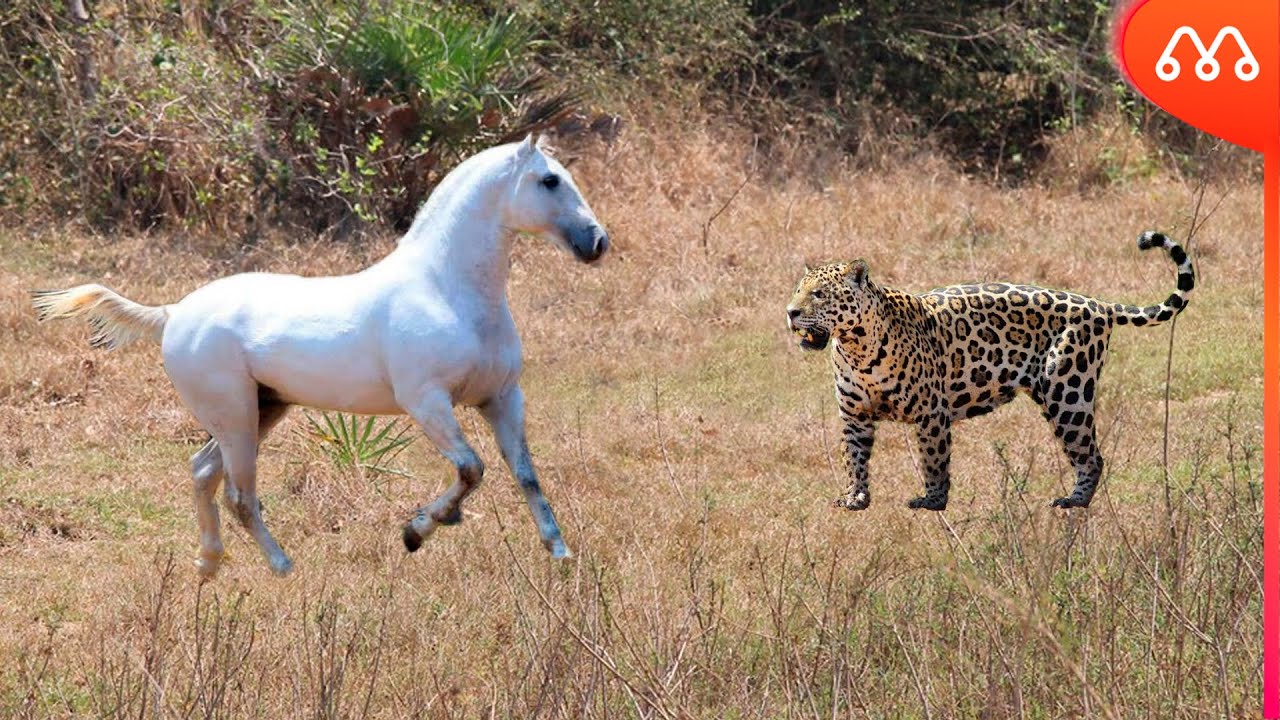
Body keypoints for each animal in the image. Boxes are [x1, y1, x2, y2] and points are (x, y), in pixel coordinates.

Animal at [31, 135, 609, 576]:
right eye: (550, 181)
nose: (597, 242)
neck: (448, 290)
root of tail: (174, 313)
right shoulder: (427, 403)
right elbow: (472, 468)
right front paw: (417, 531)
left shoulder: (502, 398)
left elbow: (524, 473)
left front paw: (559, 552)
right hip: (236, 417)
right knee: (239, 495)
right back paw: (282, 568)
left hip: (262, 410)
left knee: (202, 472)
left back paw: (209, 565)